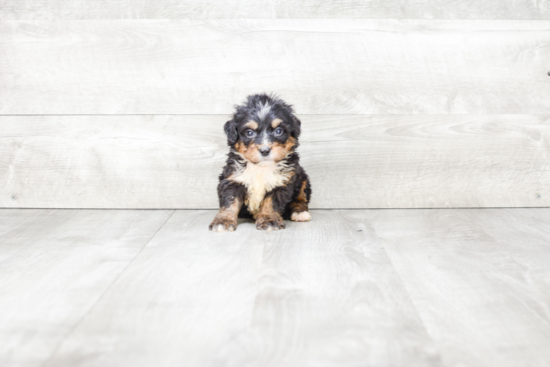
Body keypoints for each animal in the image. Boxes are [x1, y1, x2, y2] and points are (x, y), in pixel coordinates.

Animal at [209, 93, 312, 231]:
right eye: (249, 132)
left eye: (278, 131)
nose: (265, 150)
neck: (261, 168)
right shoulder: (233, 179)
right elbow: (230, 202)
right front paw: (223, 220)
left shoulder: (282, 181)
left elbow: (271, 203)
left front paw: (269, 220)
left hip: (302, 178)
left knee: (301, 197)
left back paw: (300, 212)